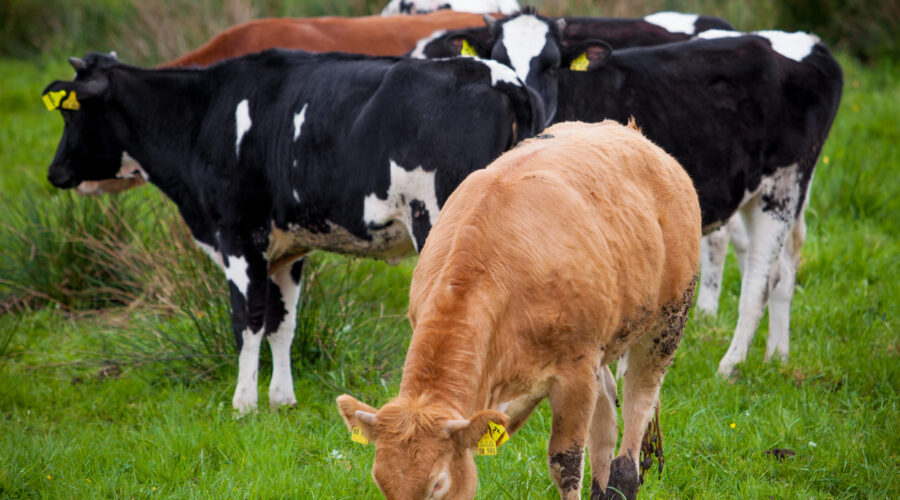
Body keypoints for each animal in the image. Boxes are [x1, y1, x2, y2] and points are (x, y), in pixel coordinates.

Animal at [44, 49, 540, 410]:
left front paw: (243, 404)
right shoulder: (287, 249)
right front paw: (281, 399)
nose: (53, 171)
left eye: (70, 115)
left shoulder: (239, 234)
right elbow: (283, 322)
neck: (205, 115)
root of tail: (498, 77)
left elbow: (246, 320)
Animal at [338, 121, 704, 500]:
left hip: (667, 324)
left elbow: (565, 463)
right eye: (380, 480)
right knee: (605, 409)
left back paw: (623, 478)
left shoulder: (575, 372)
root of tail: (632, 134)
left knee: (638, 401)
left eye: (437, 483)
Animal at [436, 11, 844, 376]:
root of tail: (808, 42)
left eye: (551, 65)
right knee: (784, 270)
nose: (529, 99)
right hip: (769, 192)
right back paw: (777, 356)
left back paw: (731, 365)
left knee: (760, 280)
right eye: (499, 58)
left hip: (783, 186)